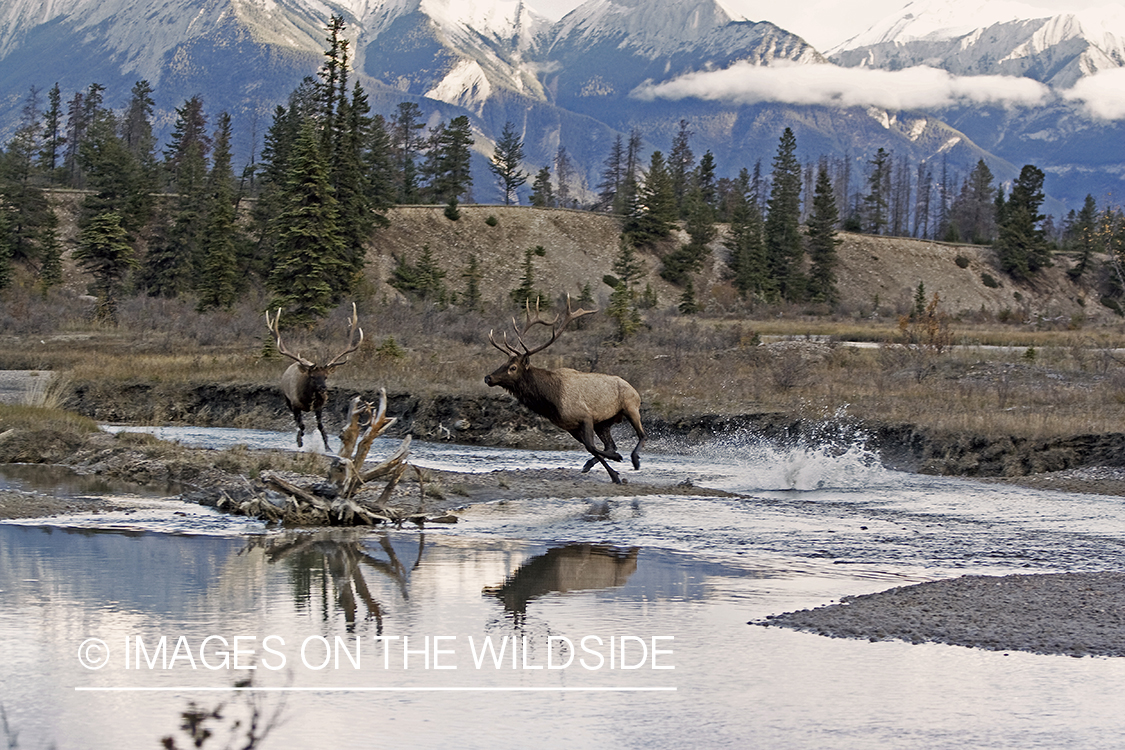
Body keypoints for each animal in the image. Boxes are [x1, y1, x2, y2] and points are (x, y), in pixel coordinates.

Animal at [266, 301, 364, 449]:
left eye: (325, 376)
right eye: (312, 377)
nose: (323, 388)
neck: (307, 400)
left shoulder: (319, 406)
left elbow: (320, 426)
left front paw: (327, 447)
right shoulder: (294, 404)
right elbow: (301, 425)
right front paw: (299, 441)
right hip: (287, 399)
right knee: (298, 422)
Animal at [481, 296, 648, 483]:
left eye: (513, 367)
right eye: (504, 363)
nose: (488, 378)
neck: (550, 401)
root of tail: (635, 390)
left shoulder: (586, 416)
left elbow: (591, 446)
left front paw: (616, 469)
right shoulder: (570, 427)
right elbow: (592, 448)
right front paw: (612, 471)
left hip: (630, 407)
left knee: (642, 435)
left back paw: (635, 460)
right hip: (604, 423)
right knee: (610, 445)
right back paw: (594, 463)